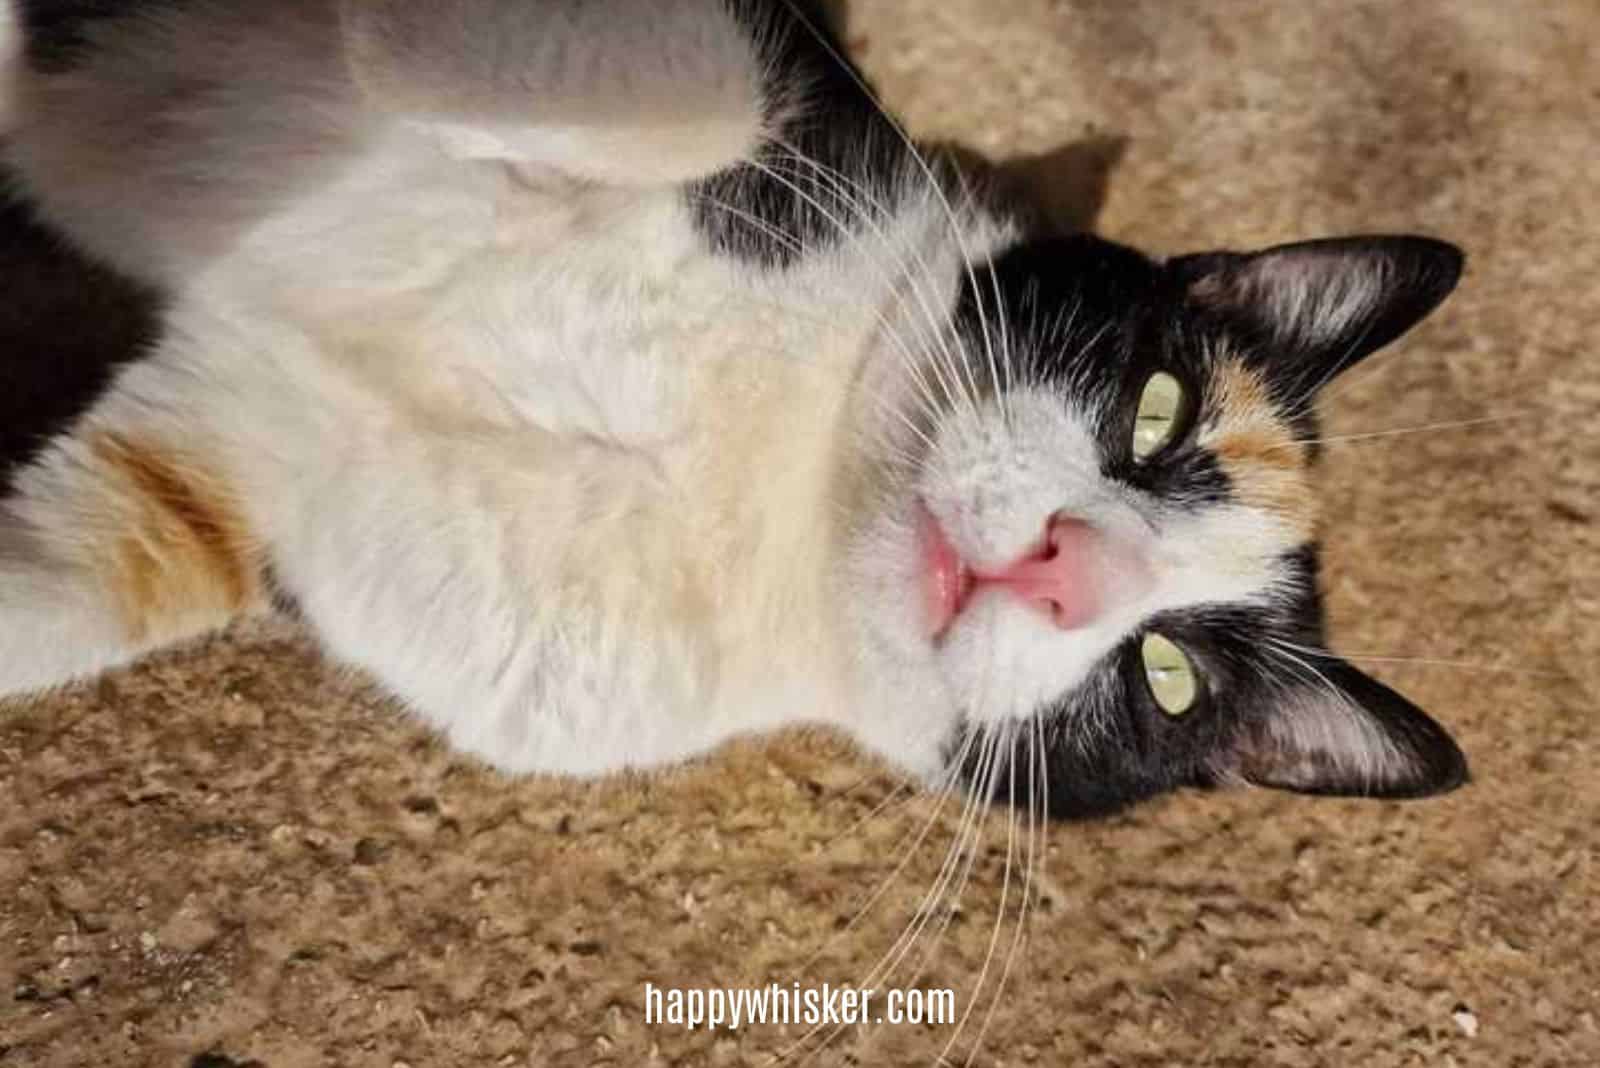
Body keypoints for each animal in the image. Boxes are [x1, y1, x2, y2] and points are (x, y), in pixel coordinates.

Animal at [0, 0, 1465, 818]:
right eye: (1160, 412)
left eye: (1167, 681)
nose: (1065, 566)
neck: (775, 455)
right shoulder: (781, 88)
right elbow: (695, 99)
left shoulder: (279, 455)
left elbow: (80, 573)